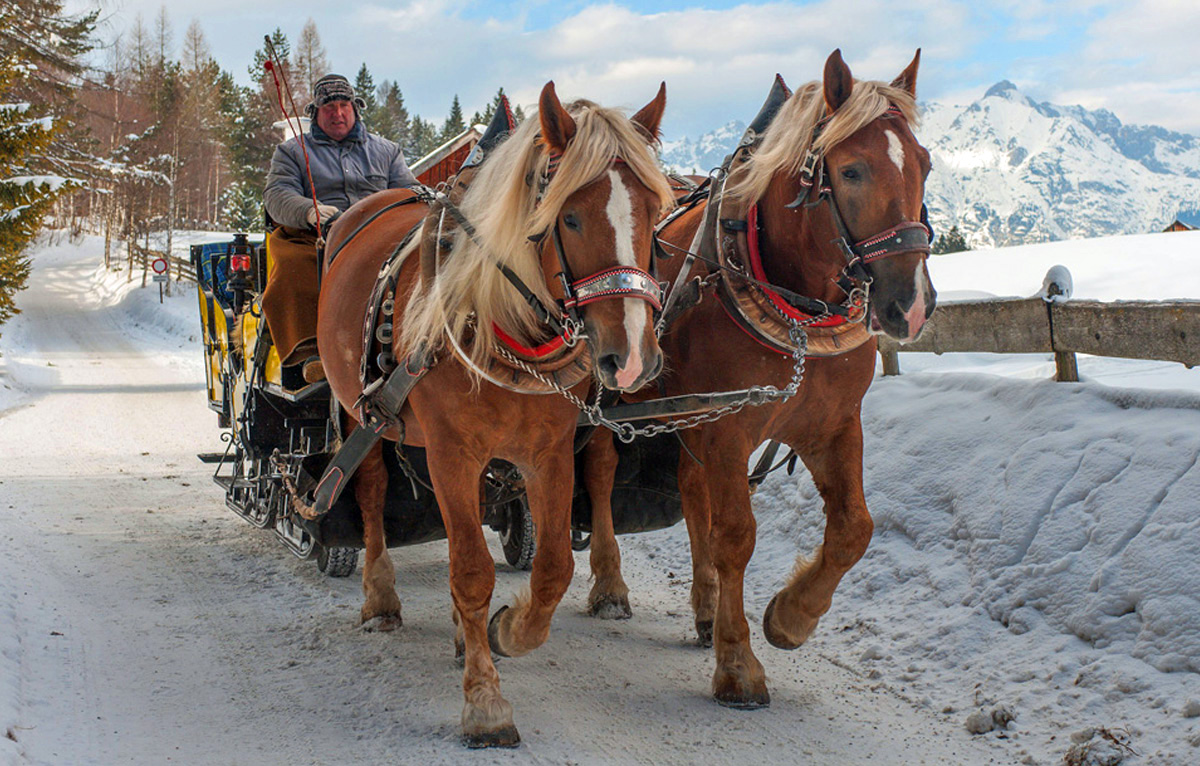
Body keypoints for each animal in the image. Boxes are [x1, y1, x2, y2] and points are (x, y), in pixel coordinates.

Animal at [316, 84, 676, 749]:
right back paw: (380, 598)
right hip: (364, 415)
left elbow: (555, 566)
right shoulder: (452, 449)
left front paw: (505, 630)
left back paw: (466, 632)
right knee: (372, 491)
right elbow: (471, 571)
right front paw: (485, 702)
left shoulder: (548, 451)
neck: (500, 321)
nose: (633, 357)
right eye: (569, 217)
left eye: (651, 215)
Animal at [580, 48, 936, 710]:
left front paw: (790, 618)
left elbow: (855, 528)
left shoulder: (831, 426)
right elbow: (737, 536)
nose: (912, 304)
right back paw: (611, 585)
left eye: (924, 163)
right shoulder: (729, 430)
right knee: (600, 470)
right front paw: (739, 664)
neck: (797, 305)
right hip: (616, 392)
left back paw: (704, 607)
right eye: (851, 171)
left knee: (690, 489)